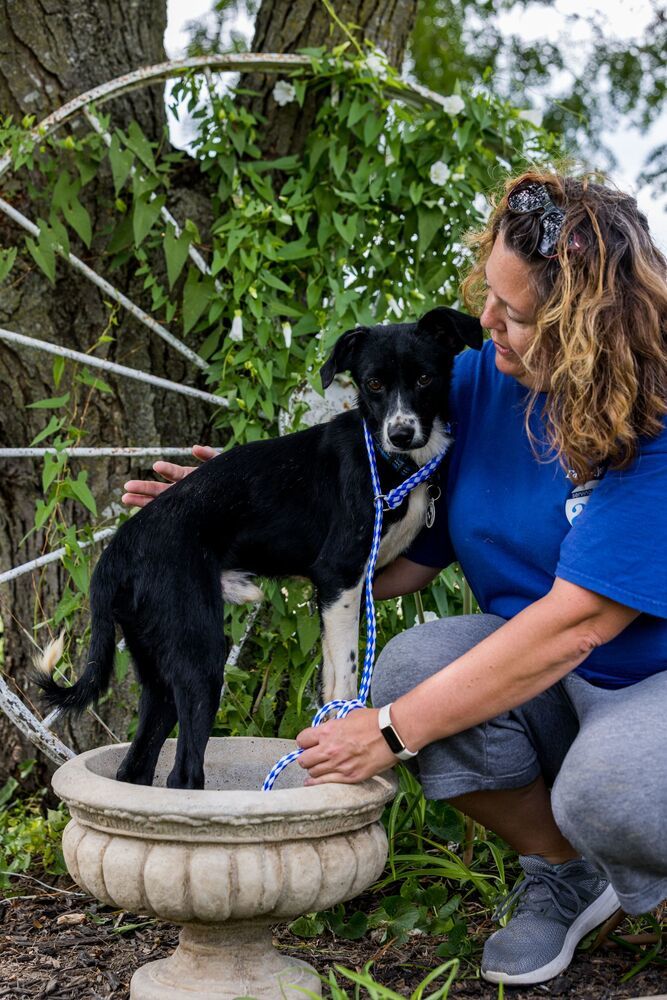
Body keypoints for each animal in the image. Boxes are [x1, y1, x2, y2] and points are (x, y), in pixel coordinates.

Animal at [37, 307, 482, 789]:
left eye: (425, 378)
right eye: (373, 383)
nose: (400, 433)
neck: (391, 462)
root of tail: (117, 550)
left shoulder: (339, 592)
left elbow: (329, 680)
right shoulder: (340, 576)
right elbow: (345, 675)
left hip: (157, 664)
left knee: (136, 766)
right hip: (200, 655)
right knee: (183, 774)